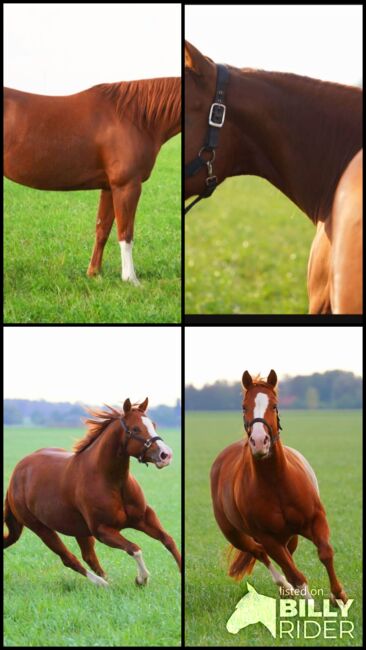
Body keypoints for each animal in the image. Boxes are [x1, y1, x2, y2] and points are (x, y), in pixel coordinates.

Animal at [2, 76, 180, 284]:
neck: (135, 117)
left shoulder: (110, 187)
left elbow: (102, 229)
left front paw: (94, 273)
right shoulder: (127, 185)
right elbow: (125, 233)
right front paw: (131, 279)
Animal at [4, 394, 182, 584]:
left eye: (153, 425)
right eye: (135, 429)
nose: (166, 455)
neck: (112, 480)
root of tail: (15, 477)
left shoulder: (143, 518)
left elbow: (168, 540)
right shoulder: (102, 531)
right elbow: (135, 548)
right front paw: (141, 579)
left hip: (79, 530)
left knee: (88, 556)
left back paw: (106, 581)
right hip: (41, 529)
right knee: (69, 559)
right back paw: (102, 584)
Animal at [210, 370, 348, 604]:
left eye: (274, 405)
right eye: (244, 407)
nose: (259, 441)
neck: (276, 482)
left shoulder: (315, 520)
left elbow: (325, 553)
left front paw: (339, 597)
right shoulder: (268, 538)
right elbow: (295, 575)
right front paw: (309, 605)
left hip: (289, 536)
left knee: (285, 554)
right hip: (236, 536)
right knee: (260, 553)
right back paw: (285, 589)